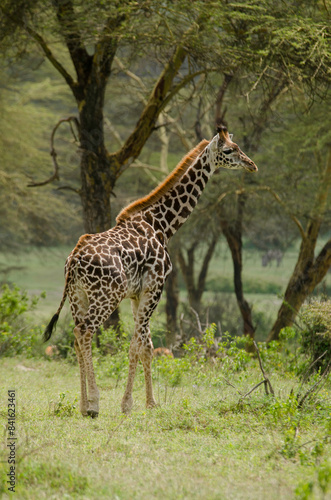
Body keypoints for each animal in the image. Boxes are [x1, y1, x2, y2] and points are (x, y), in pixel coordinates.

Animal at [43, 125, 256, 418]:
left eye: (238, 147)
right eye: (228, 150)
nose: (251, 165)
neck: (162, 225)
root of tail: (73, 259)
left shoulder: (137, 295)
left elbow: (147, 346)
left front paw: (151, 402)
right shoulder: (155, 288)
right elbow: (136, 345)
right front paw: (127, 404)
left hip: (78, 296)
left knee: (76, 335)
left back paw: (82, 404)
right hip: (106, 296)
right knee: (85, 331)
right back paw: (94, 403)